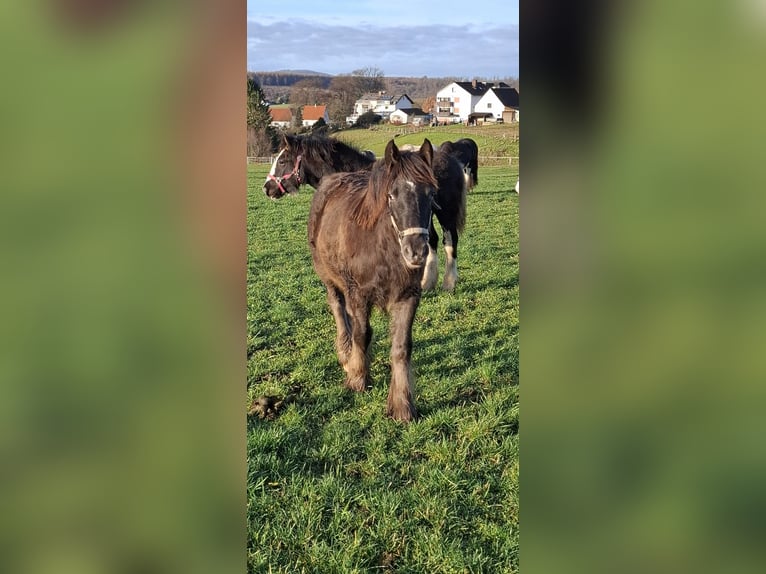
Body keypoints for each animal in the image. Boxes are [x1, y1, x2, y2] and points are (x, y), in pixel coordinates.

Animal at [263, 133, 468, 292]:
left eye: (282, 161)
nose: (267, 188)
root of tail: (451, 159)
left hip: (446, 214)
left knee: (450, 240)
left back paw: (449, 282)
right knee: (432, 240)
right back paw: (427, 283)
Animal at [308, 139, 438, 421]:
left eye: (431, 194)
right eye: (392, 195)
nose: (416, 252)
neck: (381, 248)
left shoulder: (408, 297)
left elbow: (401, 347)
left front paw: (402, 405)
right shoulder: (359, 294)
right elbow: (362, 333)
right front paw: (357, 377)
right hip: (329, 277)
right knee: (338, 309)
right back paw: (346, 354)